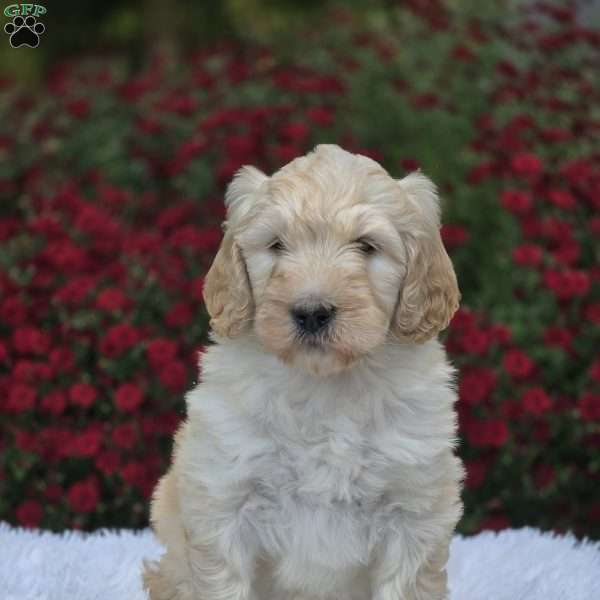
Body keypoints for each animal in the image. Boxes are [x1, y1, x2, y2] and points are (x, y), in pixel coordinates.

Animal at [144, 145, 464, 600]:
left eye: (366, 246)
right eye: (277, 245)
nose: (312, 312)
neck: (323, 385)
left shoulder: (414, 511)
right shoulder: (223, 500)